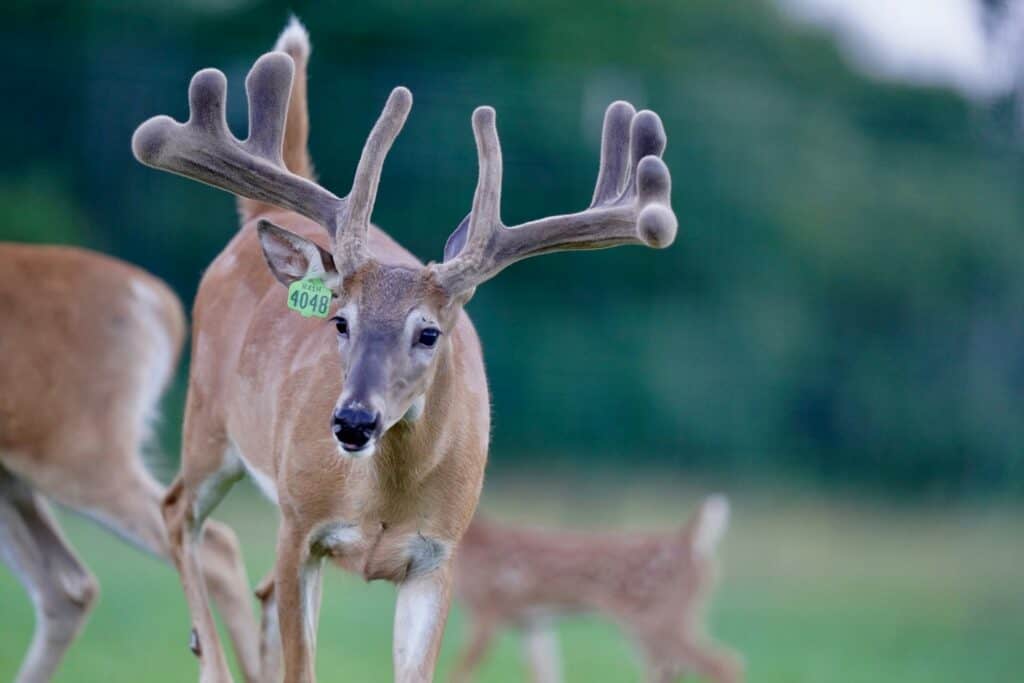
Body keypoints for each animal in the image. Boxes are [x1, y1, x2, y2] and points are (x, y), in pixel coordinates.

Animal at [130, 18, 677, 683]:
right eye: (340, 321)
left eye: (429, 333)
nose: (352, 422)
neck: (381, 502)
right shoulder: (298, 525)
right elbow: (301, 666)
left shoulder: (438, 555)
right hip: (208, 420)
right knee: (176, 511)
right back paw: (210, 658)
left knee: (244, 580)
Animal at [451, 496, 743, 683]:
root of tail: (690, 541)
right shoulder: (533, 622)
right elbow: (545, 673)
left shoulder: (486, 608)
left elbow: (462, 670)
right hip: (667, 621)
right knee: (674, 668)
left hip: (658, 617)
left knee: (725, 662)